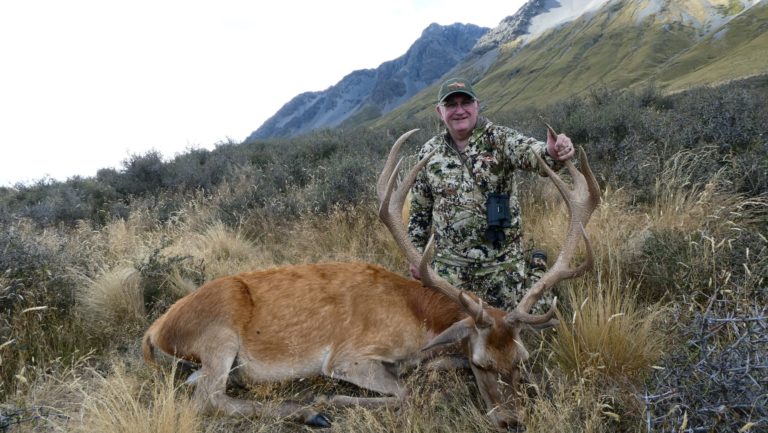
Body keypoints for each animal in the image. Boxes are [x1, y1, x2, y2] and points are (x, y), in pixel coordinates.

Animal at [142, 127, 601, 430]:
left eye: (520, 361)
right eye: (481, 363)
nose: (512, 421)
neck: (415, 320)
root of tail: (154, 330)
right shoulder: (349, 355)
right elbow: (403, 393)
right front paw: (330, 398)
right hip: (218, 334)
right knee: (208, 400)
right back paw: (310, 412)